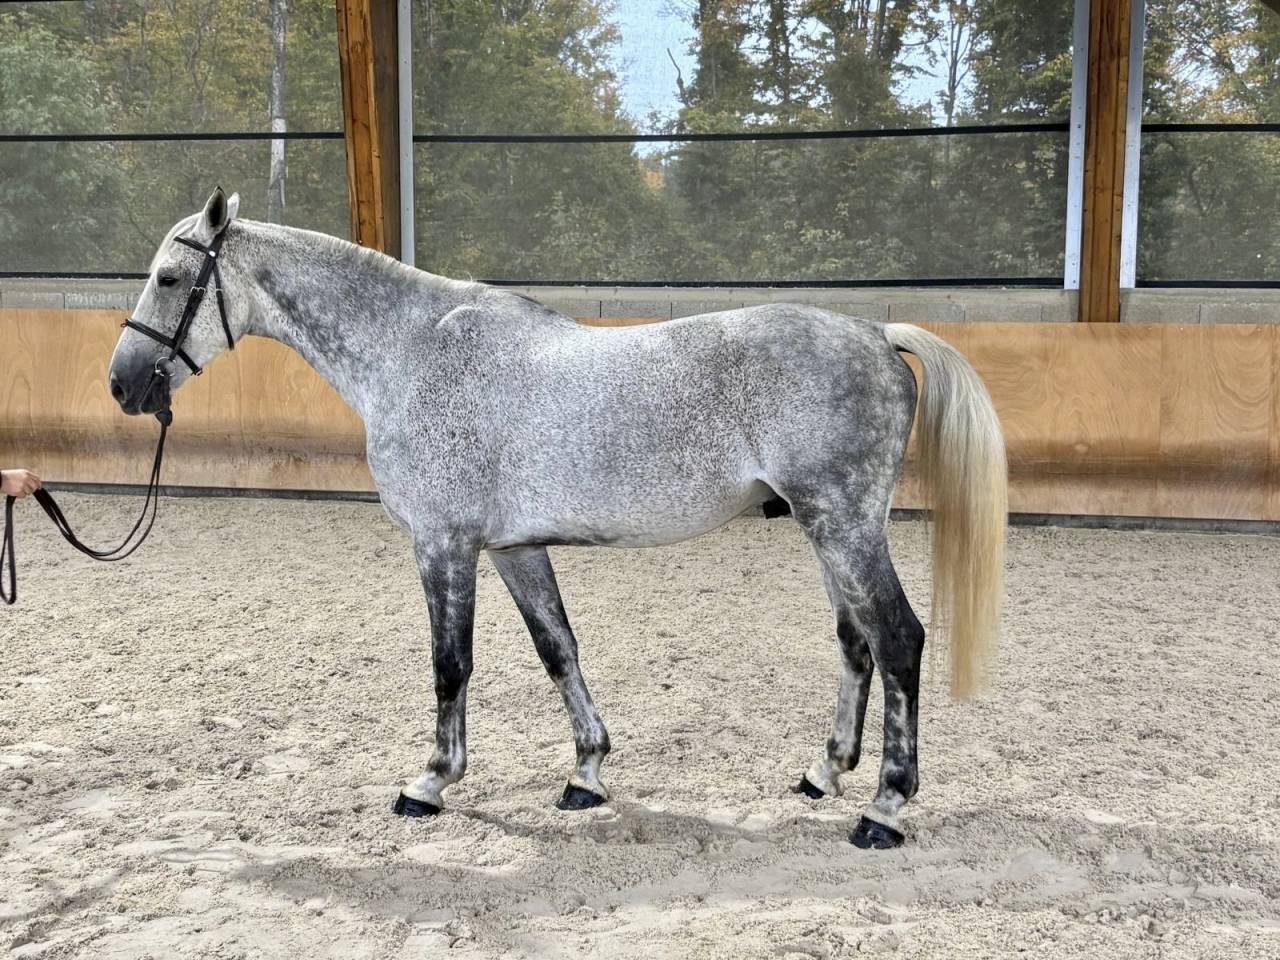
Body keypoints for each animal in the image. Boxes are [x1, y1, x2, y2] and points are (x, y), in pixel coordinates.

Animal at [108, 188, 1007, 849]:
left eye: (168, 278)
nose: (122, 385)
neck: (412, 353)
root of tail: (877, 331)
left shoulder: (444, 546)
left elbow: (450, 665)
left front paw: (431, 781)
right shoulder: (514, 549)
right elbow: (558, 649)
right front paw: (587, 772)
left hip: (843, 526)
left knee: (898, 640)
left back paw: (885, 808)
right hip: (827, 530)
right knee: (857, 643)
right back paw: (825, 773)